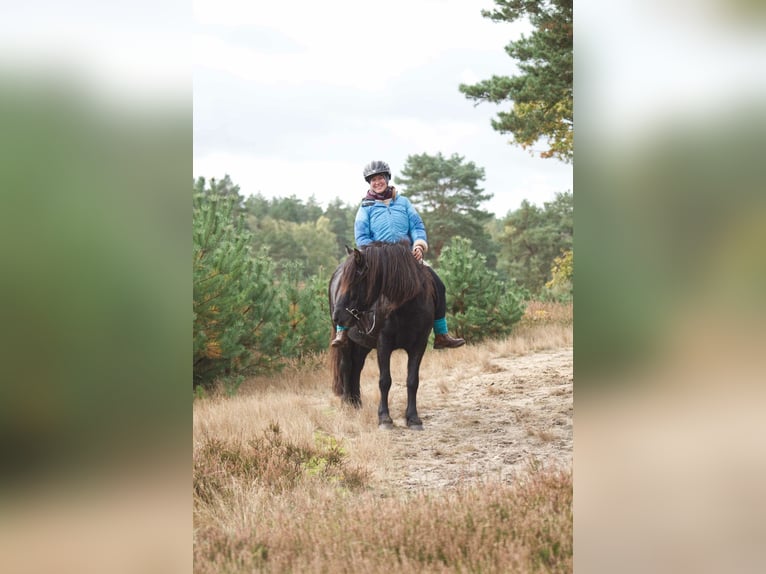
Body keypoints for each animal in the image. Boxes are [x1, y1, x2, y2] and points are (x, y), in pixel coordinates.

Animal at [330, 241, 438, 430]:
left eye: (355, 281)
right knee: (346, 366)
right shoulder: (383, 344)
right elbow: (385, 380)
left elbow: (412, 380)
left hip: (362, 344)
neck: (404, 307)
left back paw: (356, 402)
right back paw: (346, 404)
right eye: (343, 281)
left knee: (357, 366)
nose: (337, 317)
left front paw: (413, 418)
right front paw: (385, 418)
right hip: (347, 342)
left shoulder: (419, 345)